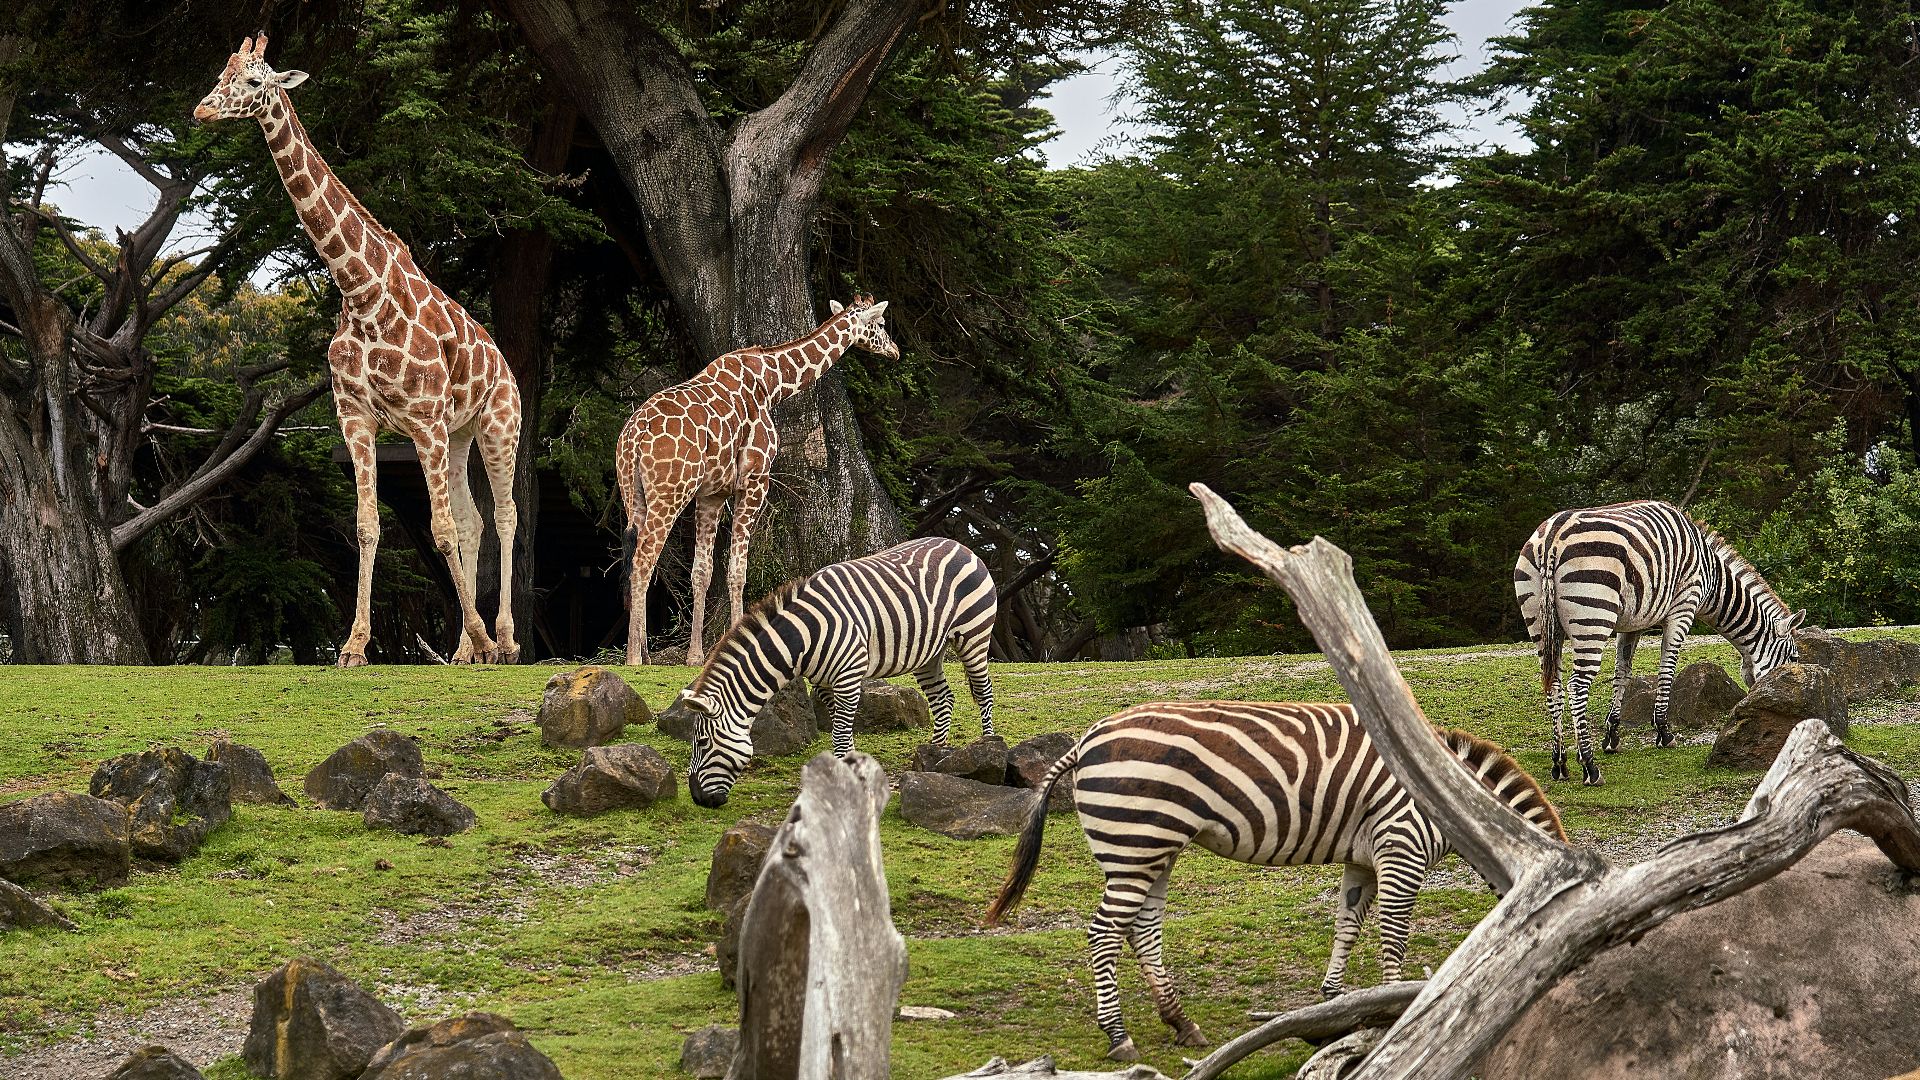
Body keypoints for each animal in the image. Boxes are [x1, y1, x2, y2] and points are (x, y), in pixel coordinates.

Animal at [194, 35, 522, 667]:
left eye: (253, 81)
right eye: (222, 72)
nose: (201, 110)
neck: (360, 290)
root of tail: (505, 367)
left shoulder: (422, 420)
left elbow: (440, 529)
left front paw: (479, 635)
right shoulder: (357, 416)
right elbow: (370, 524)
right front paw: (353, 645)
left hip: (498, 425)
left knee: (504, 515)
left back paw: (505, 639)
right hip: (461, 433)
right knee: (474, 520)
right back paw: (467, 649)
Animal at [617, 295, 899, 666]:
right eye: (880, 324)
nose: (895, 350)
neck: (772, 383)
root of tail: (633, 437)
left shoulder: (712, 494)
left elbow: (702, 572)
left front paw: (695, 655)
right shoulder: (754, 480)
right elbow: (738, 570)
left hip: (633, 494)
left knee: (636, 559)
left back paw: (645, 653)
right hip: (670, 493)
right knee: (643, 561)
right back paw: (633, 658)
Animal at [676, 536, 997, 807]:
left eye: (702, 742)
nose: (697, 799)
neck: (803, 637)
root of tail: (959, 544)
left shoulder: (848, 677)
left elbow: (840, 736)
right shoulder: (823, 684)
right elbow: (841, 730)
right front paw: (851, 771)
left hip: (974, 634)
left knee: (983, 691)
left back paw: (987, 748)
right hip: (928, 651)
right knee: (943, 698)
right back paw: (935, 754)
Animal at [984, 701, 1563, 1063]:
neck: (1452, 800)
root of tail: (1086, 739)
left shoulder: (1364, 858)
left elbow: (1347, 923)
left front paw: (1334, 998)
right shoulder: (1401, 846)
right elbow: (1393, 935)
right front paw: (1398, 1007)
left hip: (1150, 849)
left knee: (1141, 930)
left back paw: (1181, 1024)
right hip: (1136, 840)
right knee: (1104, 933)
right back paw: (1119, 1036)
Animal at [1514, 500, 1804, 786]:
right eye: (1793, 660)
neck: (1712, 577)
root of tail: (1551, 539)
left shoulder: (1632, 623)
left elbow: (1622, 674)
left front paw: (1612, 735)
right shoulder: (1683, 609)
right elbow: (1667, 670)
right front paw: (1664, 732)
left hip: (1540, 623)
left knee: (1554, 686)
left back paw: (1560, 763)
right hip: (1593, 617)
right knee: (1577, 687)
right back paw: (1589, 766)